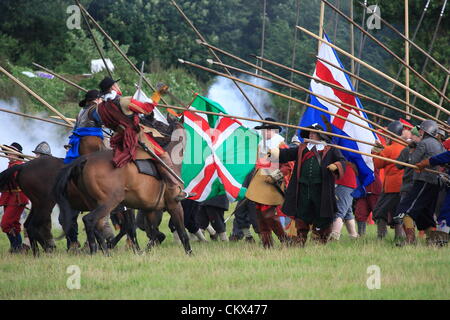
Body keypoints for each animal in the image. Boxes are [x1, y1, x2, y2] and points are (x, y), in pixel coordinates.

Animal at [54, 122, 192, 255]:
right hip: (110, 202)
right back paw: (97, 251)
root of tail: (84, 161)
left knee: (98, 226)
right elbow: (182, 233)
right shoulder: (174, 205)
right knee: (89, 220)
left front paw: (142, 251)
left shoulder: (150, 210)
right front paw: (189, 253)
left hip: (96, 204)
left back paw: (103, 250)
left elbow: (152, 233)